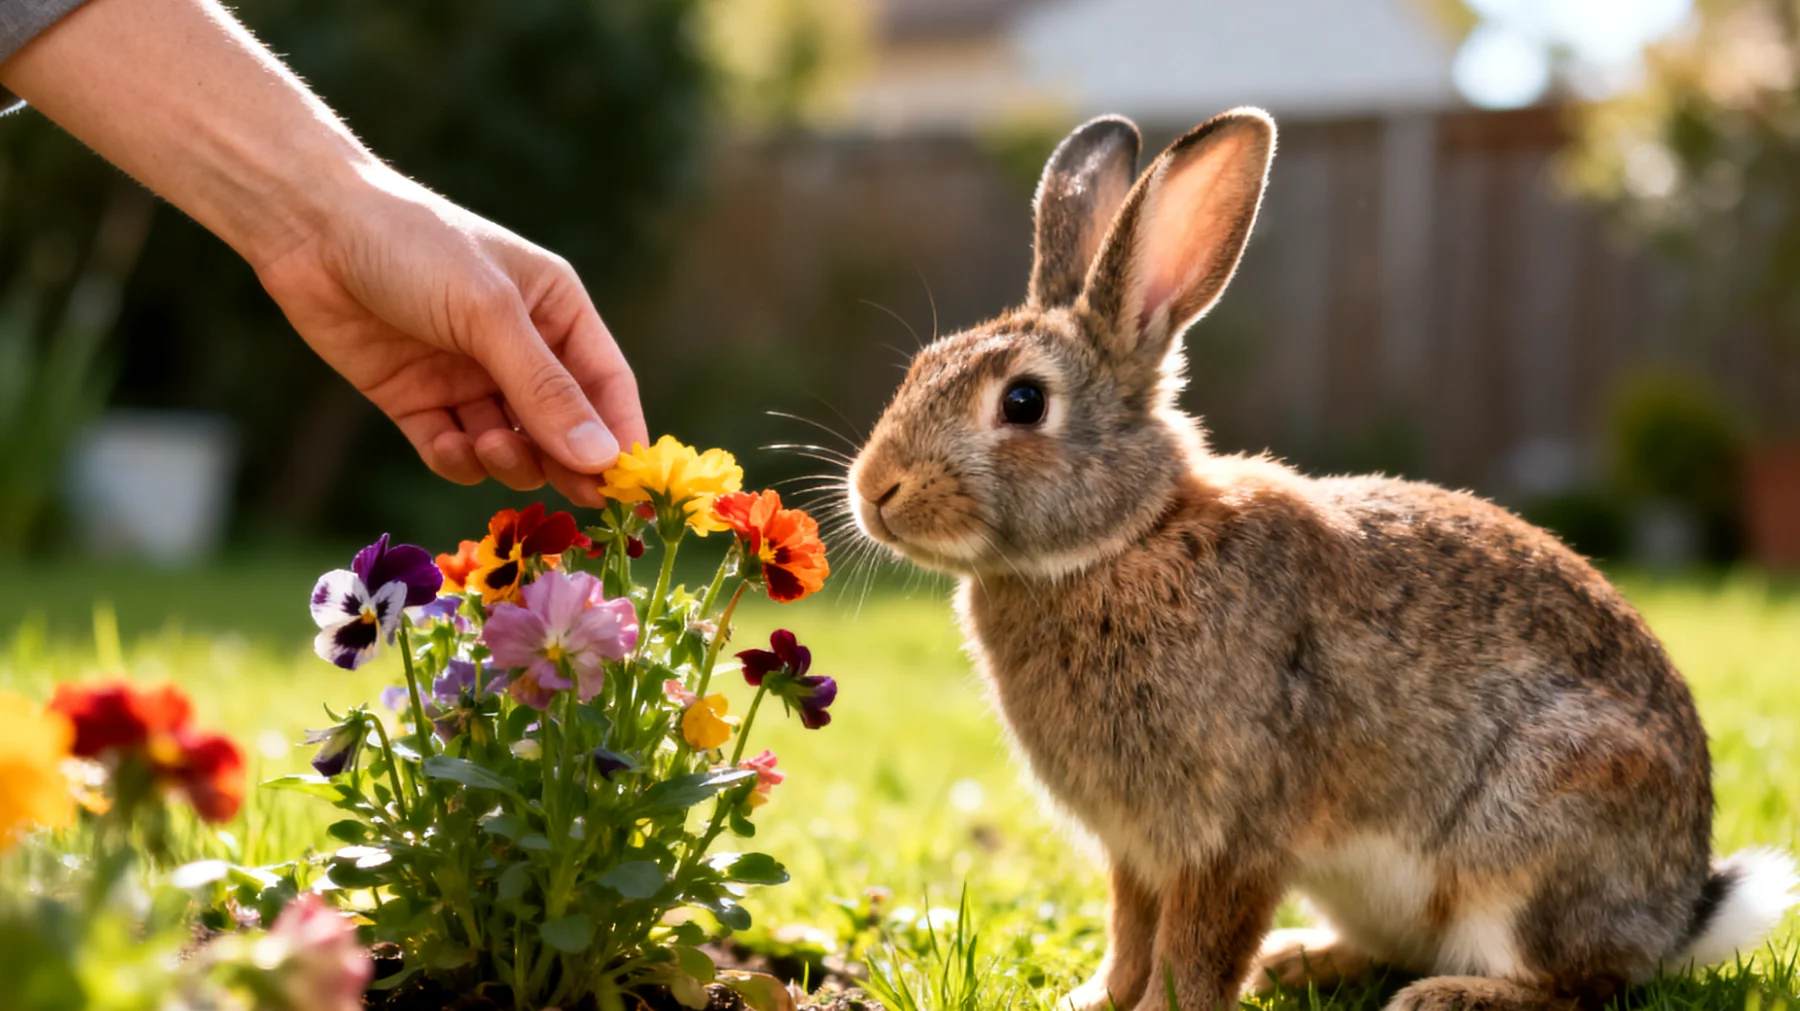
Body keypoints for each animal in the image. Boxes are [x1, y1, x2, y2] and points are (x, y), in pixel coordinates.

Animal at [844, 108, 1798, 1011]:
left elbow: (1194, 946)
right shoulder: (1136, 845)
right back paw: (1297, 960)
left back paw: (1450, 995)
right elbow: (1130, 928)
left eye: (1023, 402)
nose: (875, 489)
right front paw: (1093, 997)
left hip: (1539, 836)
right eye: (922, 366)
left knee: (1579, 980)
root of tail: (1678, 913)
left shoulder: (1230, 832)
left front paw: (1160, 1006)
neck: (1125, 541)